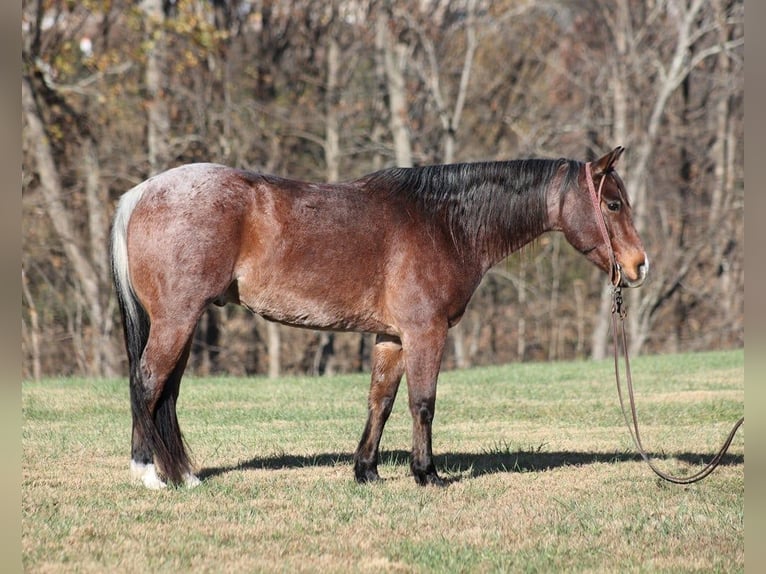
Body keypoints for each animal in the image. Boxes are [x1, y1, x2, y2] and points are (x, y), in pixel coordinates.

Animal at [110, 146, 648, 489]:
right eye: (613, 203)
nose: (640, 266)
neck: (442, 223)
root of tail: (140, 194)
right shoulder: (424, 333)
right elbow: (422, 403)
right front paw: (426, 474)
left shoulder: (391, 337)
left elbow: (381, 402)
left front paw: (366, 470)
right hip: (177, 320)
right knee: (148, 381)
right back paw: (148, 474)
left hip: (182, 323)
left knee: (164, 391)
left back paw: (181, 474)